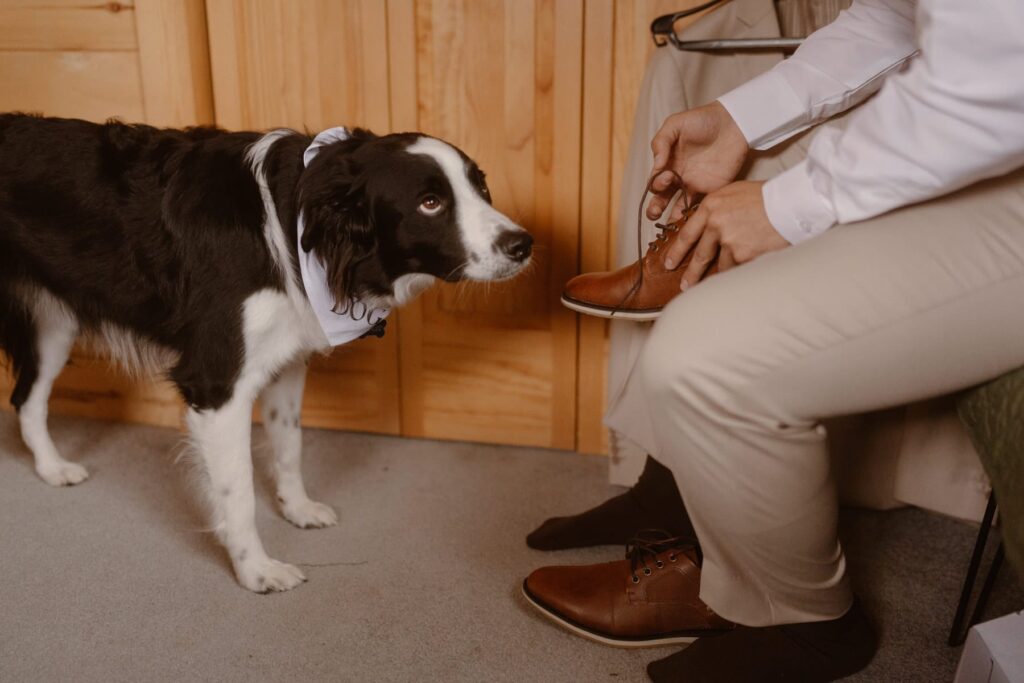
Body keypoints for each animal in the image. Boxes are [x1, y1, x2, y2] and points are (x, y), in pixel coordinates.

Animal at [2, 113, 536, 593]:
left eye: (481, 188)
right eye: (430, 203)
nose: (523, 244)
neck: (289, 221)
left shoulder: (286, 360)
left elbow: (289, 443)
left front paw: (297, 510)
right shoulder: (215, 384)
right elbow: (237, 492)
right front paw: (255, 571)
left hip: (54, 325)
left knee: (27, 399)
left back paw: (52, 469)